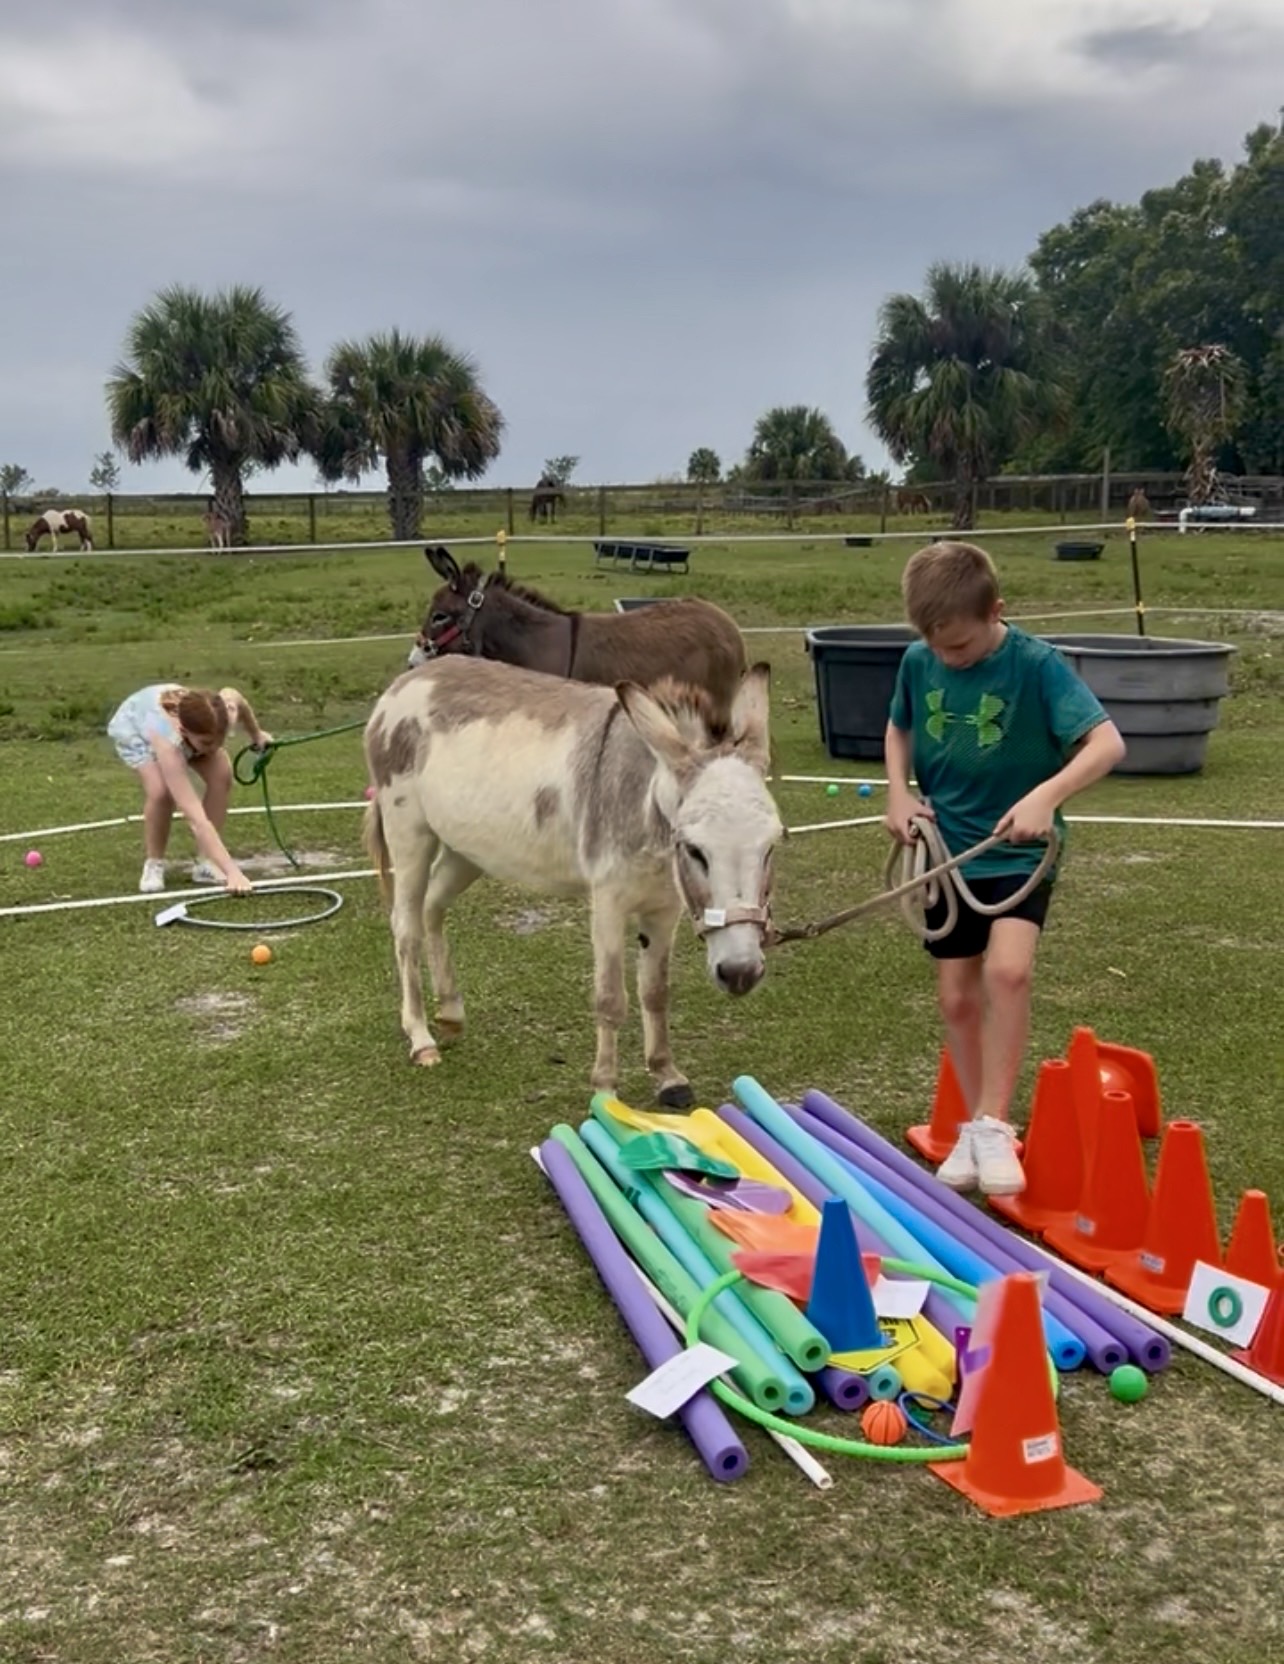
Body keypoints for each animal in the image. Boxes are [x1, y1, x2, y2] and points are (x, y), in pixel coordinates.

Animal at [363, 656, 782, 1107]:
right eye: (695, 850)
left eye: (772, 846)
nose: (740, 973)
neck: (647, 799)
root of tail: (410, 678)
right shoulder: (609, 901)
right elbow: (611, 997)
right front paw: (605, 1088)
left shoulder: (664, 907)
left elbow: (655, 991)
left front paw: (667, 1075)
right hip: (409, 832)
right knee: (406, 928)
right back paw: (421, 1037)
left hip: (467, 848)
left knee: (432, 908)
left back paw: (451, 1014)